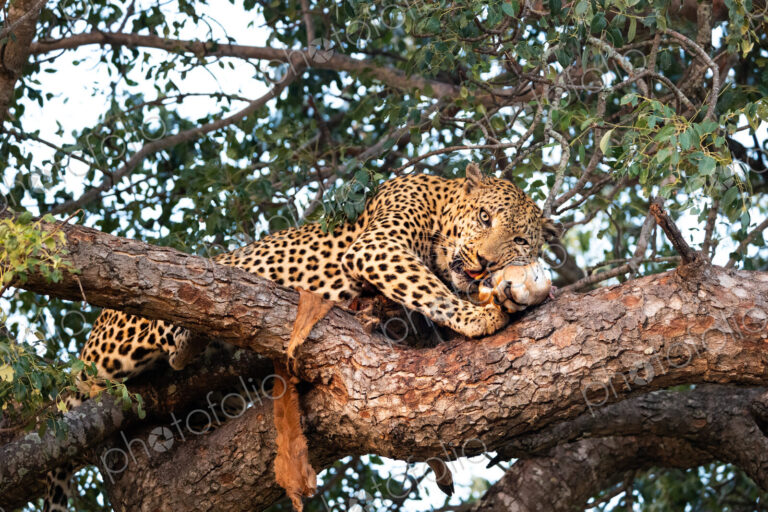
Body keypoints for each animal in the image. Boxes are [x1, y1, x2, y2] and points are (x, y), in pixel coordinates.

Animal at [43, 163, 559, 511]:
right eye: (485, 217)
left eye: (519, 241)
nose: (484, 262)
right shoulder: (378, 246)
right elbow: (431, 291)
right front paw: (479, 317)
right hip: (126, 334)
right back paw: (188, 332)